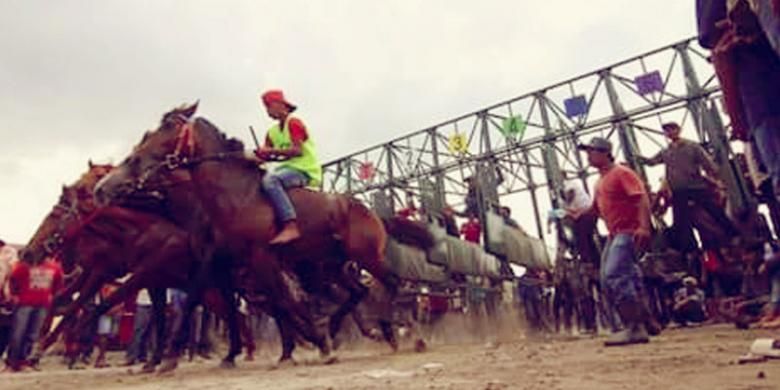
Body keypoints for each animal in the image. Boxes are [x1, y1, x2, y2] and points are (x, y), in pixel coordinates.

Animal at [96, 102, 400, 368]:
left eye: (168, 126)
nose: (102, 189)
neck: (235, 197)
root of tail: (367, 209)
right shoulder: (225, 264)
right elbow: (218, 302)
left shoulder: (258, 258)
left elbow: (281, 302)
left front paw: (314, 343)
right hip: (332, 265)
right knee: (360, 291)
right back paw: (356, 329)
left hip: (366, 256)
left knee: (391, 283)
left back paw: (392, 331)